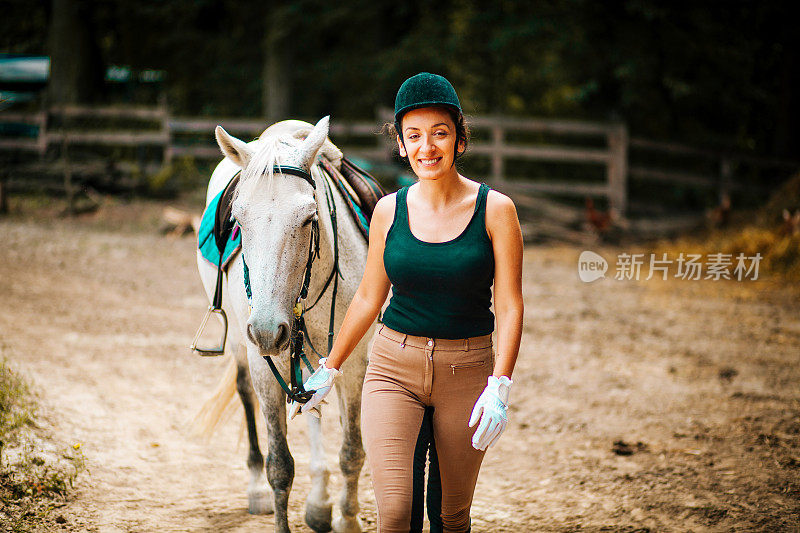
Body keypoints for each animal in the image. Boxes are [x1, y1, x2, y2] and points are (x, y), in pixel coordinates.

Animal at [195, 117, 370, 532]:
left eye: (309, 218)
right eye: (239, 220)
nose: (267, 330)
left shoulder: (353, 361)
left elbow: (351, 451)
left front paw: (348, 518)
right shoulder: (264, 361)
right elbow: (281, 466)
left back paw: (320, 501)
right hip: (243, 345)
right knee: (245, 392)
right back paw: (257, 488)